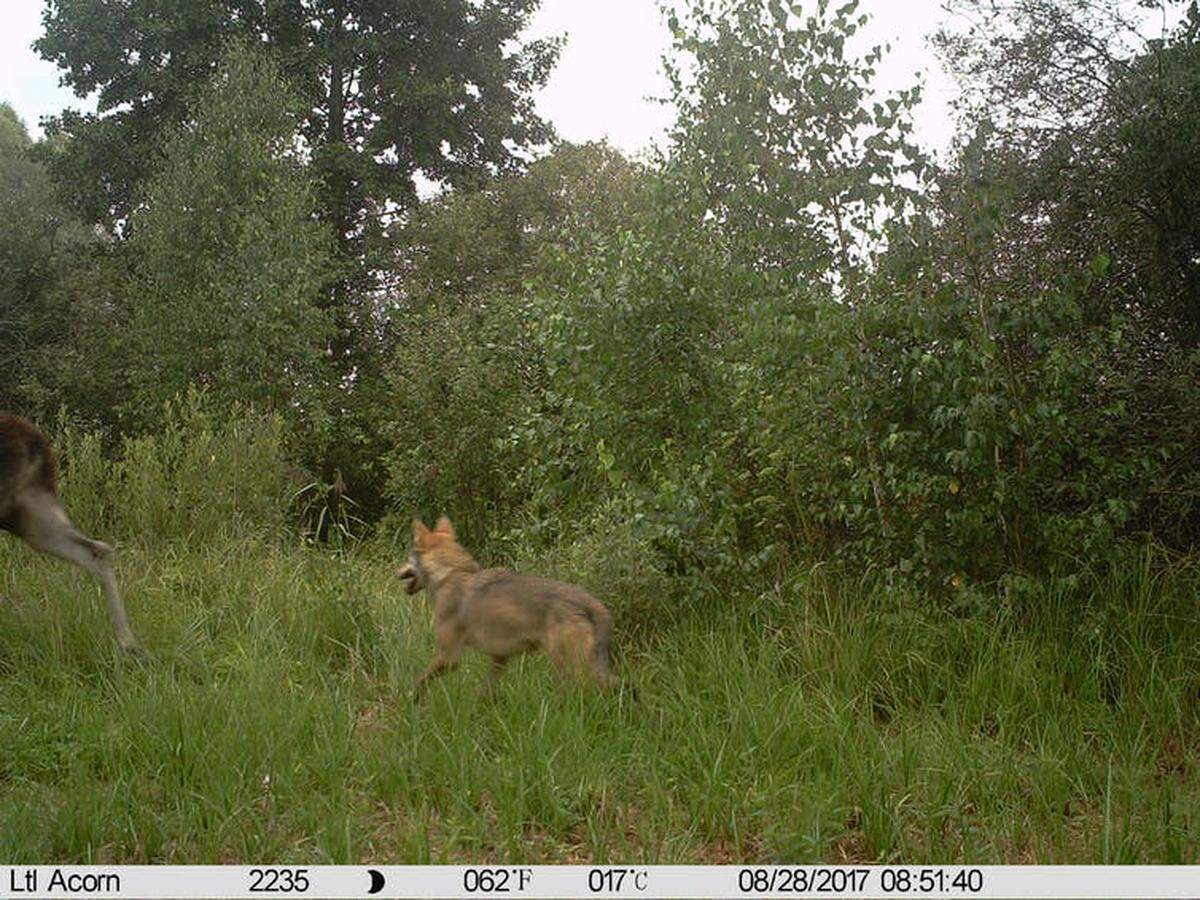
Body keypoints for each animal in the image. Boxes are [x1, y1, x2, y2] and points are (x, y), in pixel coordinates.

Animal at [395, 516, 618, 699]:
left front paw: (409, 699)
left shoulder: (449, 657)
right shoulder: (500, 657)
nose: (395, 571)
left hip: (570, 667)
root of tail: (589, 600)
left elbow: (420, 679)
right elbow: (485, 691)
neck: (451, 574)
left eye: (406, 558)